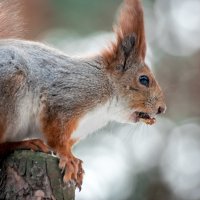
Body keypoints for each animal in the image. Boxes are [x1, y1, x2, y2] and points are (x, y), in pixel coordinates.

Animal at [0, 0, 166, 190]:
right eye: (144, 80)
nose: (162, 109)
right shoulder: (65, 100)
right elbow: (56, 137)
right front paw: (67, 158)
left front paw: (76, 162)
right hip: (10, 89)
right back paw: (24, 143)